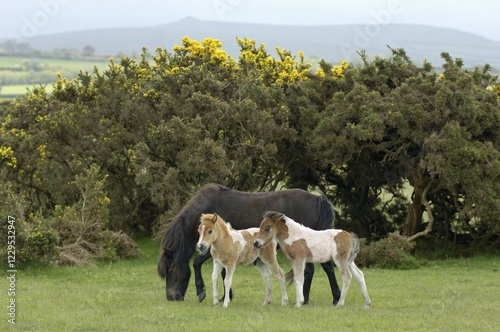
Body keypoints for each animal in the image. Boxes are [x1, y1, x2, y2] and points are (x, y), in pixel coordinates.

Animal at [158, 183, 342, 304]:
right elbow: (223, 272)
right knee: (315, 269)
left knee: (322, 268)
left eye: (171, 270)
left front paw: (201, 292)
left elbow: (197, 263)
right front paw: (226, 296)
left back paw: (327, 298)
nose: (171, 297)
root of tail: (317, 199)